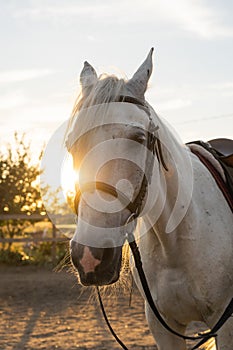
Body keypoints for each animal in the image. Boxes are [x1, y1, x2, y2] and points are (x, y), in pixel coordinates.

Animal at [66, 50, 232, 350]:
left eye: (139, 137)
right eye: (72, 144)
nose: (89, 256)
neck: (174, 243)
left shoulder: (227, 325)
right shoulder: (162, 327)